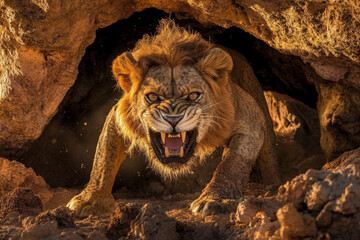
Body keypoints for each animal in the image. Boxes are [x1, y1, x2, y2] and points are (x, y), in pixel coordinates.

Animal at [67, 19, 282, 217]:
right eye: (153, 96)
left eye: (193, 96)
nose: (173, 120)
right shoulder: (118, 117)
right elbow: (103, 160)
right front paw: (90, 200)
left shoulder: (250, 117)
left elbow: (233, 163)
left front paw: (214, 199)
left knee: (270, 160)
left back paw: (275, 186)